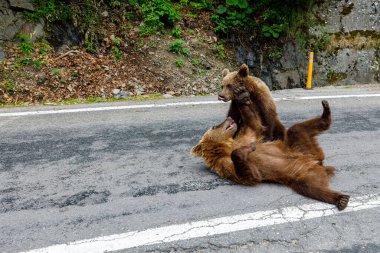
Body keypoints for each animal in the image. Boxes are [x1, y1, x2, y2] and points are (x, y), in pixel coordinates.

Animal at [193, 88, 350, 211]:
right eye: (215, 126)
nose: (230, 118)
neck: (227, 145)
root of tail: (317, 162)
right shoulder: (224, 164)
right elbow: (248, 175)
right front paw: (247, 150)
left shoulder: (246, 136)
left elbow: (255, 125)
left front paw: (241, 96)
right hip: (301, 174)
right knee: (312, 187)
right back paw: (340, 199)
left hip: (297, 146)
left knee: (297, 129)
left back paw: (326, 111)